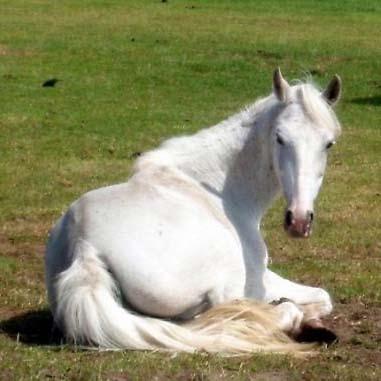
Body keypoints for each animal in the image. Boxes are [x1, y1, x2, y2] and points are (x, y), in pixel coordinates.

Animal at [44, 69, 342, 354]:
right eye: (279, 138)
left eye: (328, 144)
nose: (299, 221)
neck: (216, 190)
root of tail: (84, 245)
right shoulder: (257, 280)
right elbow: (321, 297)